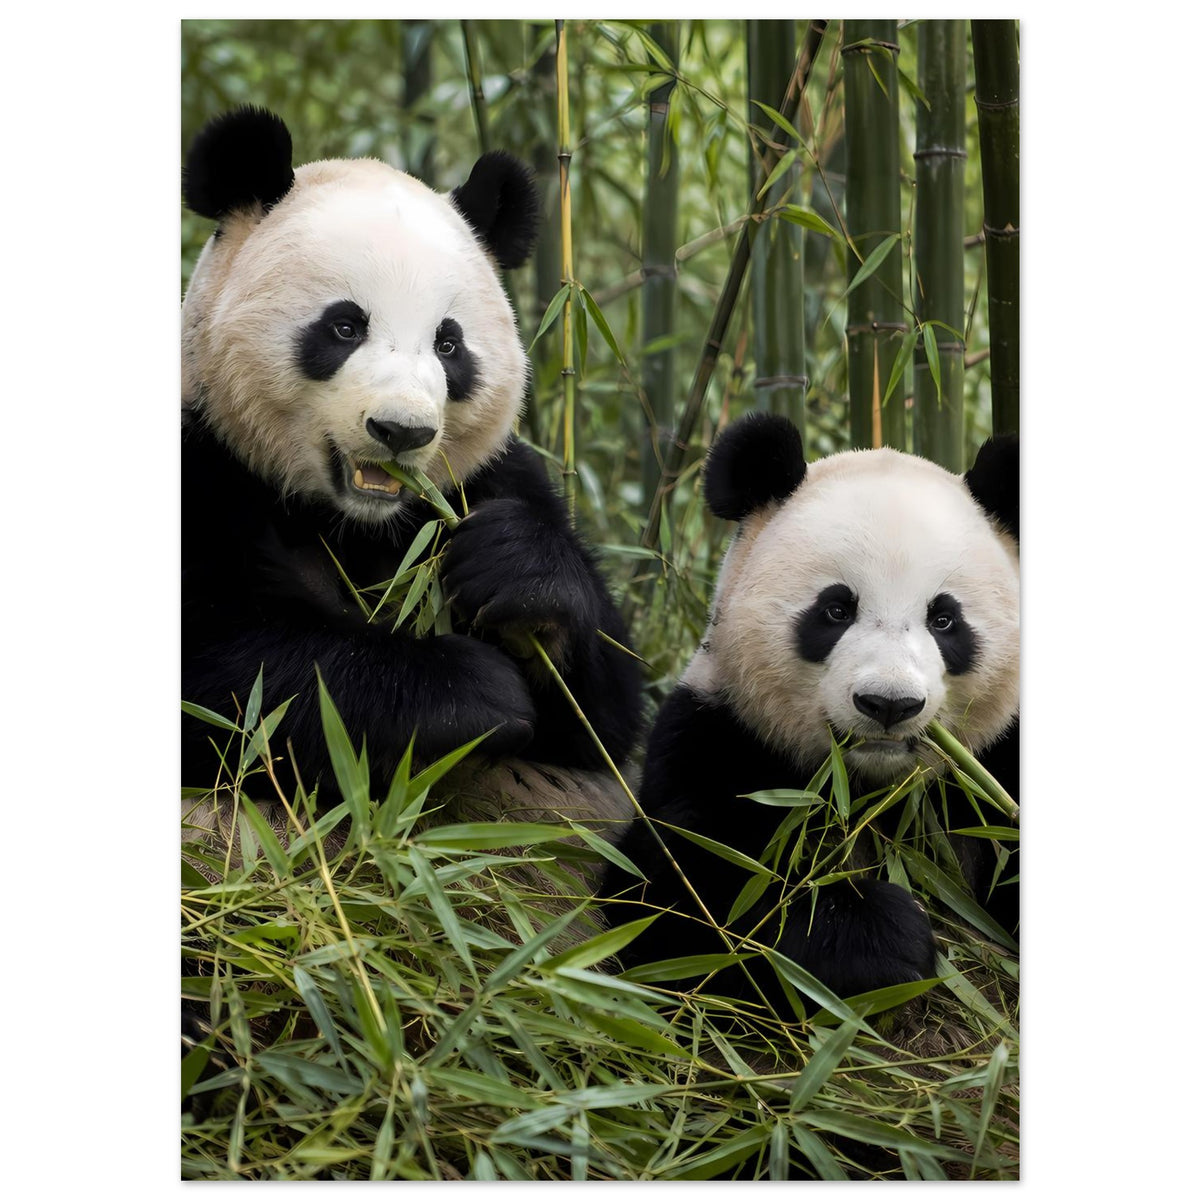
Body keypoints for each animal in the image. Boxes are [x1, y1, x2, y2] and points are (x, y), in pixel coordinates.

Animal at [181, 107, 641, 851]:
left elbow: (606, 720)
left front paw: (519, 575)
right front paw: (472, 691)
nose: (401, 430)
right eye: (344, 326)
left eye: (448, 344)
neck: (351, 521)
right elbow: (232, 682)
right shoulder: (204, 464)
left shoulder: (484, 480)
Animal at [601, 412, 1018, 1011]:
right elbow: (684, 904)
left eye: (945, 620)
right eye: (836, 610)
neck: (868, 790)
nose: (888, 704)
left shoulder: (995, 766)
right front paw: (878, 936)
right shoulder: (720, 738)